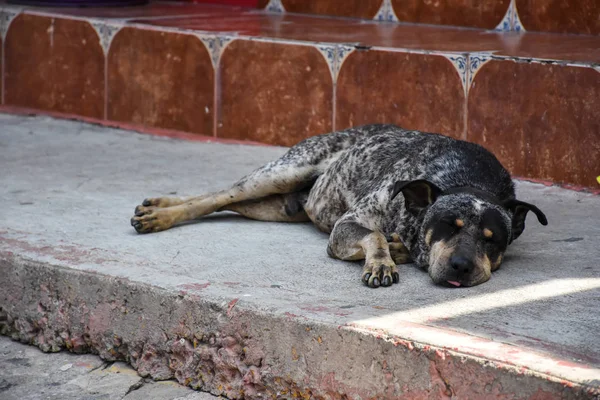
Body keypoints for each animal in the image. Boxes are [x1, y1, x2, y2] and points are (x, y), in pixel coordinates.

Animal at [131, 125, 548, 288]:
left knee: (229, 204)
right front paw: (382, 262)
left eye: (492, 239)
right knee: (219, 195)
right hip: (283, 171)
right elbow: (375, 235)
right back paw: (160, 214)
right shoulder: (348, 225)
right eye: (449, 225)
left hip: (278, 204)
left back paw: (162, 204)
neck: (467, 177)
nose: (461, 265)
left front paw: (398, 250)